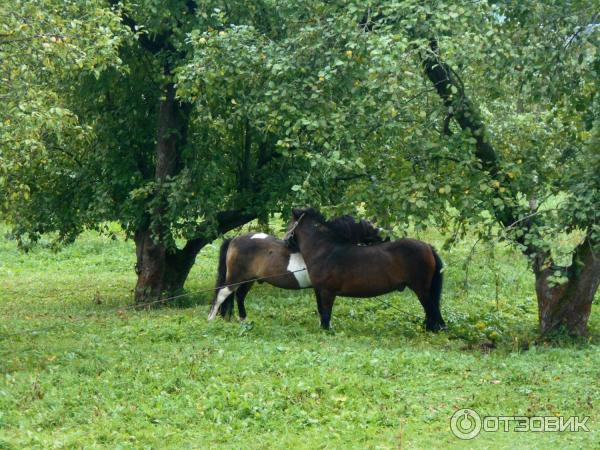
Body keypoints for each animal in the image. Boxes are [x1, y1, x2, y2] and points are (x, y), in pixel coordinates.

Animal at [206, 214, 384, 320]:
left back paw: (243, 320)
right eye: (371, 225)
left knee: (239, 296)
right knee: (222, 294)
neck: (324, 247)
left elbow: (321, 308)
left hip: (248, 279)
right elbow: (324, 308)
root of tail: (233, 239)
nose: (385, 237)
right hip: (235, 278)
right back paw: (211, 319)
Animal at [284, 207, 446, 330]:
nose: (285, 241)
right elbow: (321, 311)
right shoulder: (318, 290)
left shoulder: (327, 292)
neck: (325, 250)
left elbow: (326, 314)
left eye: (290, 224)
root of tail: (428, 247)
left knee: (432, 310)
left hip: (422, 290)